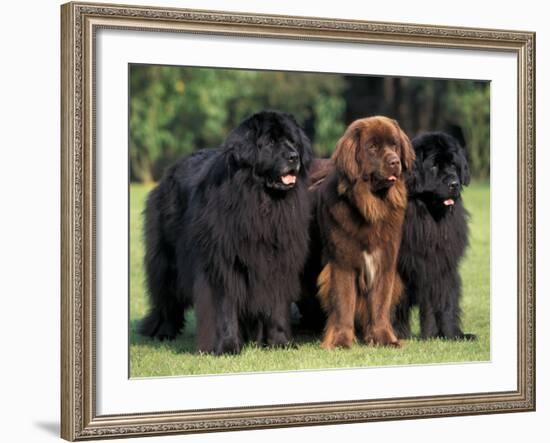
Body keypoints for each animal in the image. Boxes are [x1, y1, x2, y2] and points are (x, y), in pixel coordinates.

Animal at [140, 112, 312, 358]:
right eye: (270, 143)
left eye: (292, 141)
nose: (294, 156)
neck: (262, 203)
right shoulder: (221, 265)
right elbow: (224, 307)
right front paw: (227, 346)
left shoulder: (279, 262)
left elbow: (278, 306)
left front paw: (280, 342)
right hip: (167, 260)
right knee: (166, 296)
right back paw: (163, 331)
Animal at [306, 117, 414, 350]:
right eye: (372, 147)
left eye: (394, 145)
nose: (395, 162)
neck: (370, 208)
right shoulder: (342, 263)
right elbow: (344, 303)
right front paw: (340, 341)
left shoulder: (384, 261)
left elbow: (380, 304)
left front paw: (384, 339)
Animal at [392, 131, 478, 340]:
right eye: (434, 166)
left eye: (453, 165)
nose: (454, 183)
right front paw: (393, 334)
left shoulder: (441, 265)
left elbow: (445, 301)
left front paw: (447, 334)